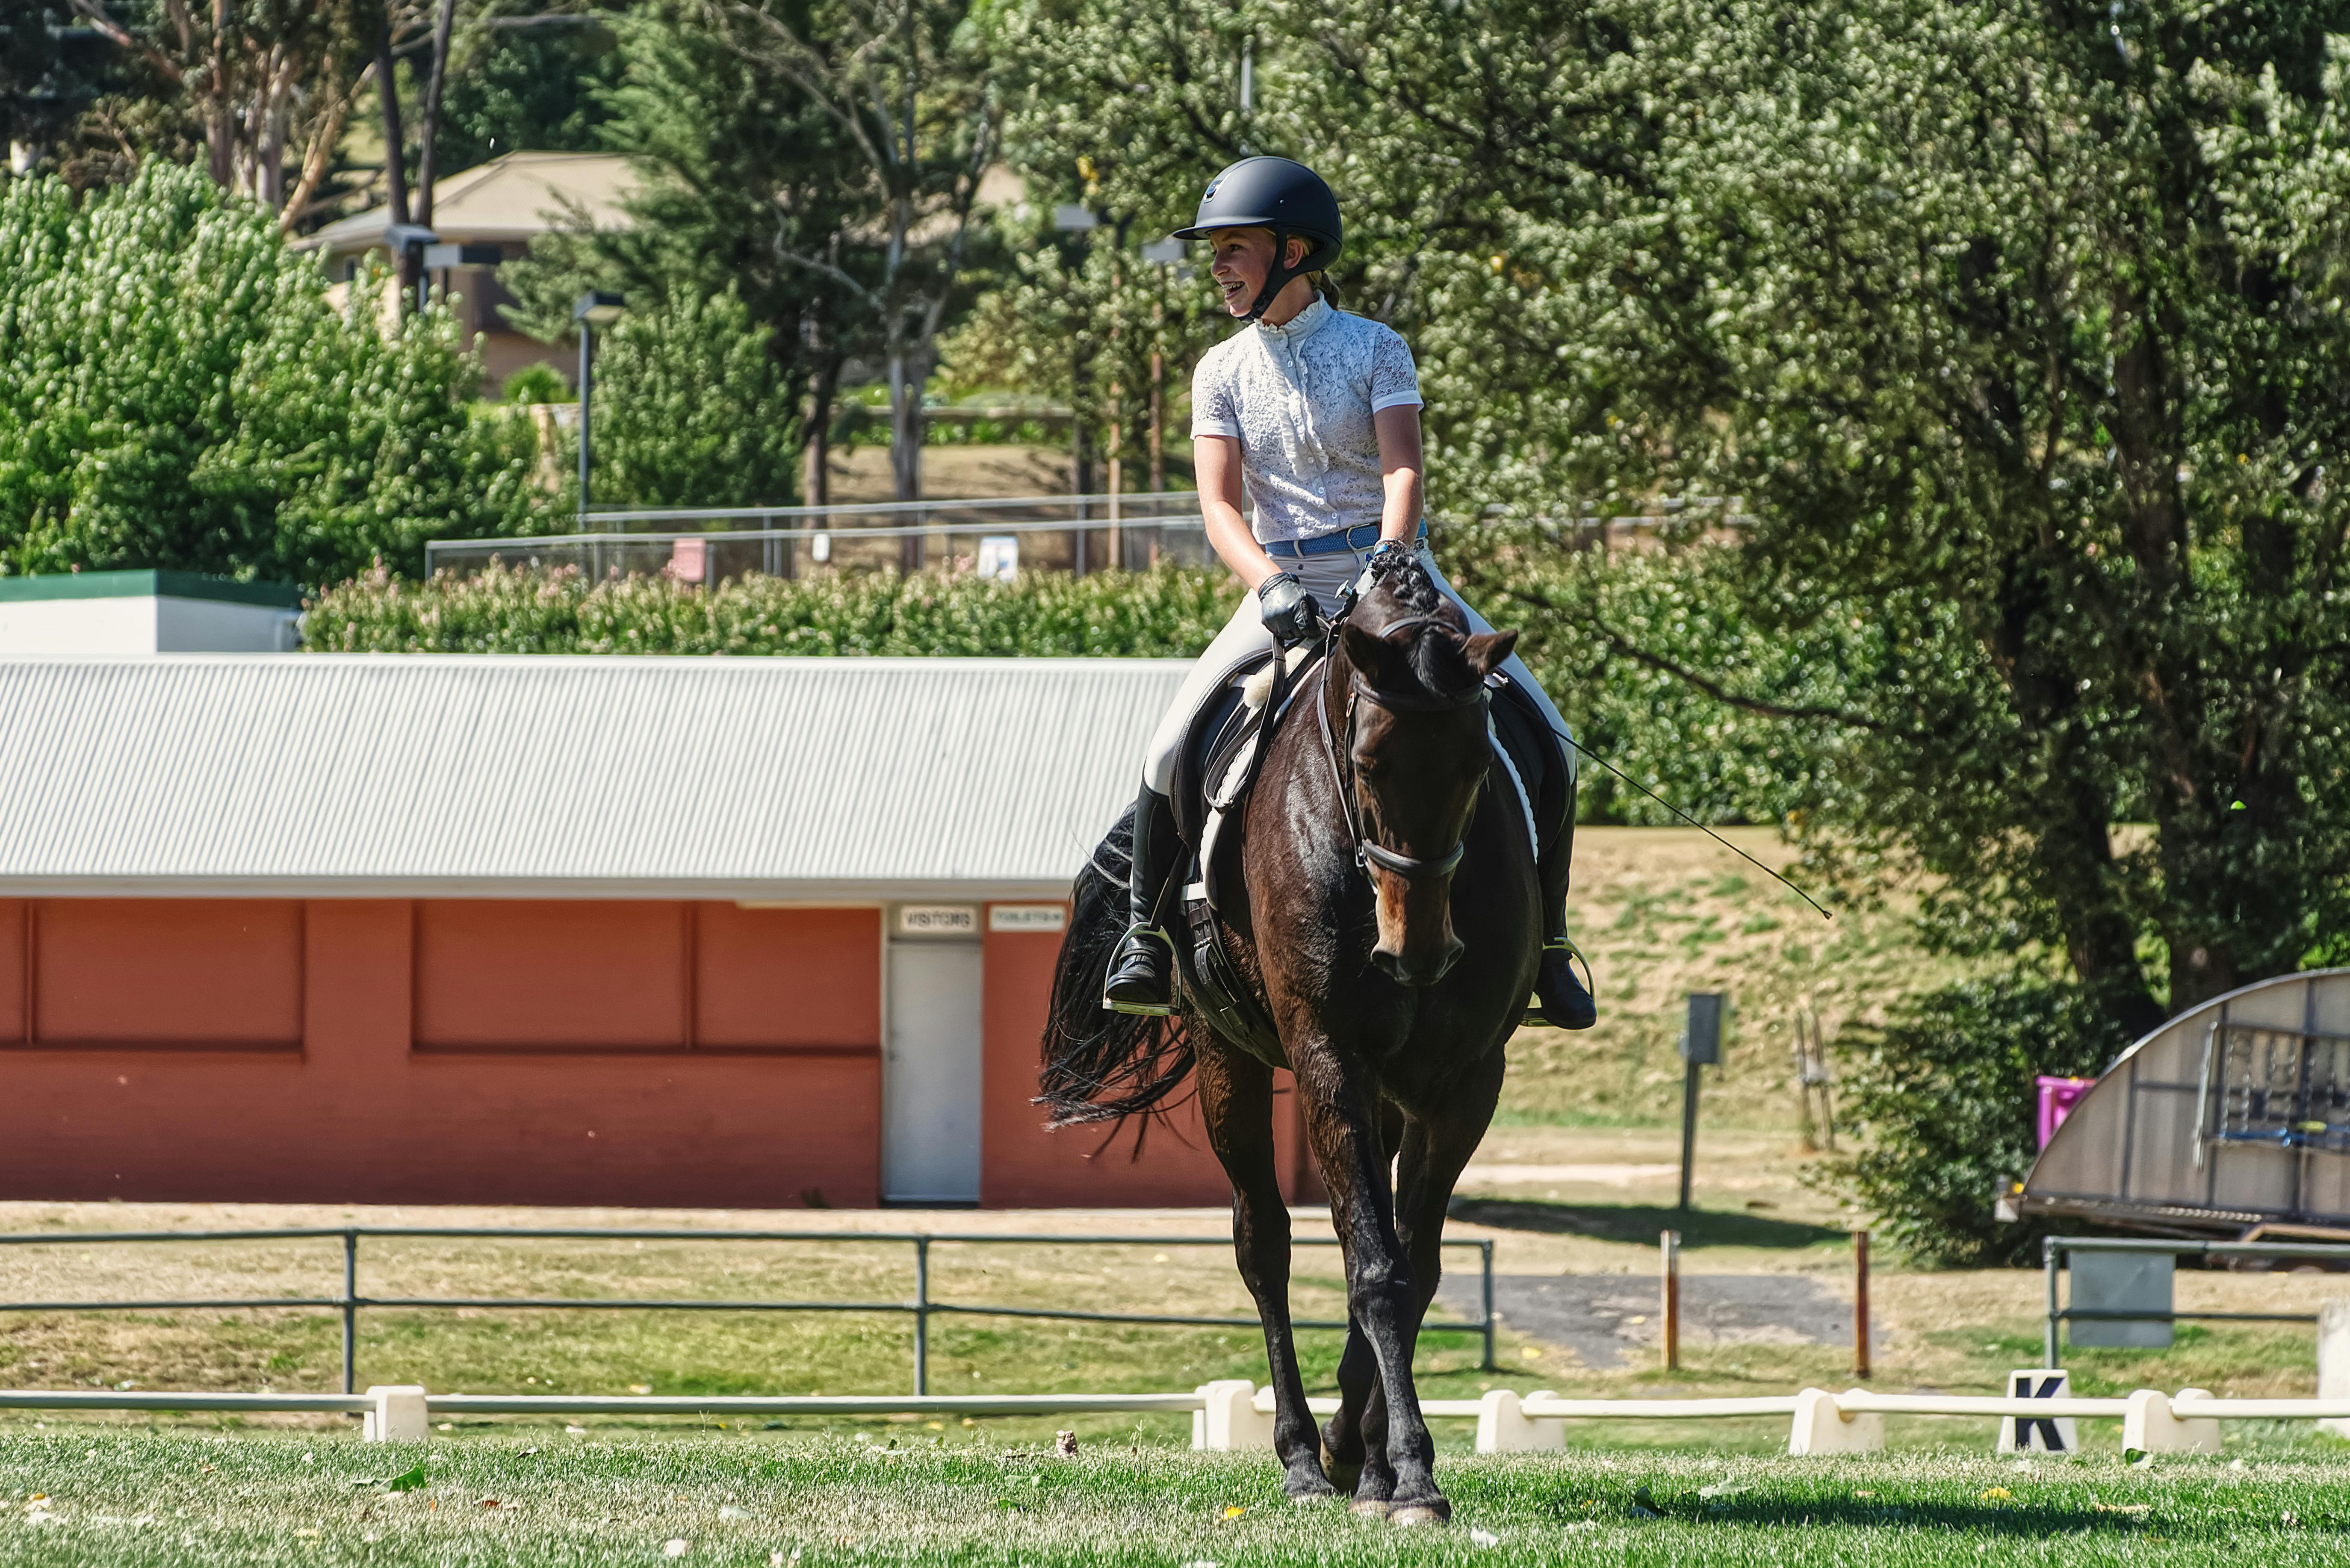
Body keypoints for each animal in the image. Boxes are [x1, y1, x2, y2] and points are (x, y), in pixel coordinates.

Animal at [1040, 557, 1542, 1526]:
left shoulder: (1464, 1081)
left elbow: (1412, 1265)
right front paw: (1409, 1474)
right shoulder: (1327, 1057)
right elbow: (1375, 1266)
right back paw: (1304, 1458)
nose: (1418, 952)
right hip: (1225, 1058)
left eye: (1478, 764)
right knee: (1262, 1243)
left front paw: (1385, 1464)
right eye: (1368, 763)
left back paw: (1350, 1452)